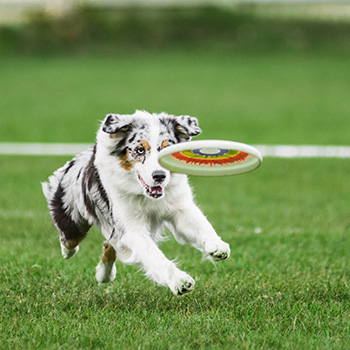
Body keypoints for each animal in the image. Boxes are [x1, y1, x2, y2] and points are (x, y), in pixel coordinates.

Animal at [42, 110, 230, 296]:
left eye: (166, 148)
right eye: (140, 150)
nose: (160, 176)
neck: (147, 196)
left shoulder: (179, 207)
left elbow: (201, 224)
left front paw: (217, 246)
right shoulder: (131, 228)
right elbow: (154, 256)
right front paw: (179, 281)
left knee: (109, 245)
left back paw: (104, 275)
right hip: (72, 220)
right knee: (70, 240)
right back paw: (69, 252)